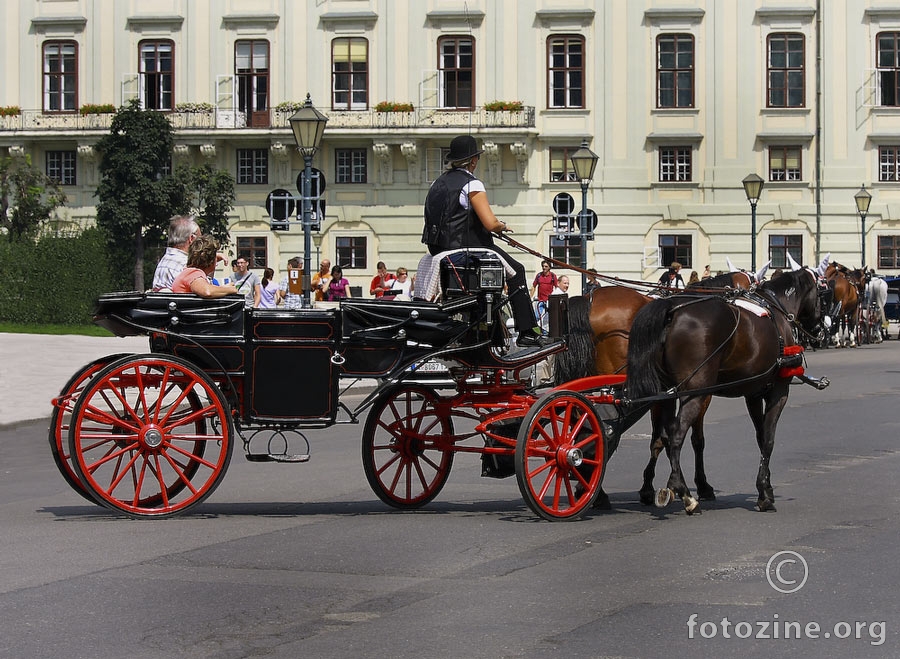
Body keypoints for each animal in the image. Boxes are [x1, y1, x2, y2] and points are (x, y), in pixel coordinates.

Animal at [624, 270, 824, 516]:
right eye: (821, 294)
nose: (820, 329)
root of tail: (671, 311)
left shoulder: (753, 395)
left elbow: (760, 437)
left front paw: (765, 487)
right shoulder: (779, 391)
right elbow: (768, 439)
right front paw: (765, 494)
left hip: (667, 394)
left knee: (662, 436)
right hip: (695, 393)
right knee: (676, 434)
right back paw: (684, 493)